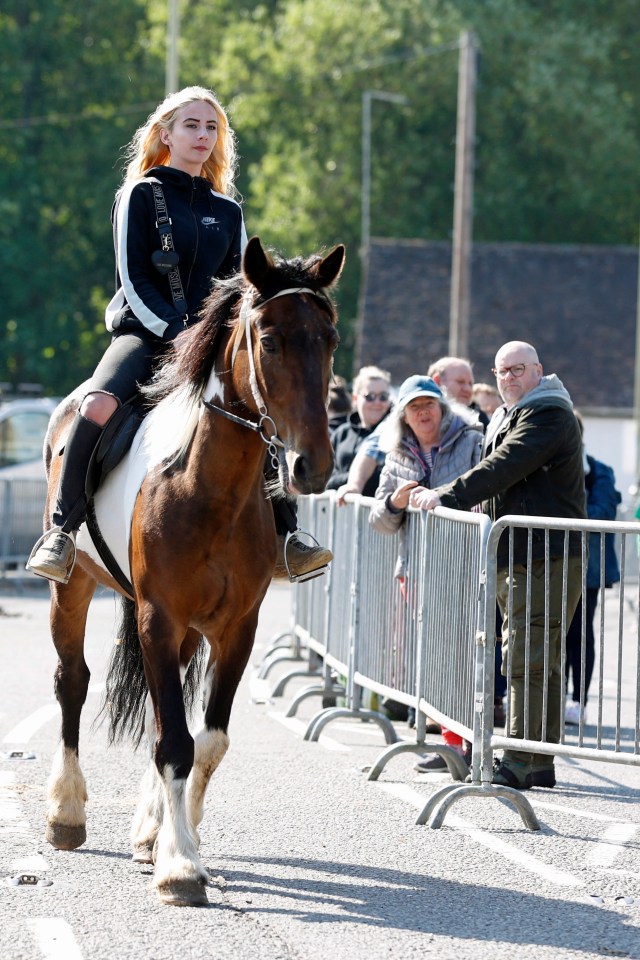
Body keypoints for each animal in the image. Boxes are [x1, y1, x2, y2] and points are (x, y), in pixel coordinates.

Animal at [42, 238, 342, 908]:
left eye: (330, 339)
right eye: (270, 340)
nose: (311, 465)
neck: (209, 488)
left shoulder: (237, 628)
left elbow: (206, 740)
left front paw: (172, 840)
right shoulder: (159, 617)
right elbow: (175, 742)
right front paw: (179, 866)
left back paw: (147, 827)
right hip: (73, 588)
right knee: (73, 682)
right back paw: (67, 813)